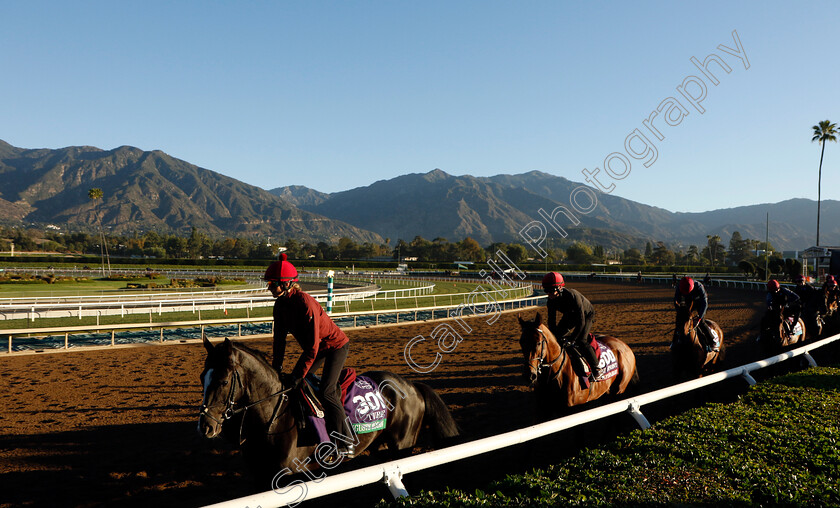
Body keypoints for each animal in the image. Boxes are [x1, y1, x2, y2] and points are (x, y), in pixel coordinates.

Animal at [198, 338, 460, 484]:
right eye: (202, 377)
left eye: (223, 381)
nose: (205, 426)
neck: (273, 417)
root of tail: (412, 386)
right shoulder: (261, 475)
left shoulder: (291, 475)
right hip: (381, 445)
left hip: (403, 445)